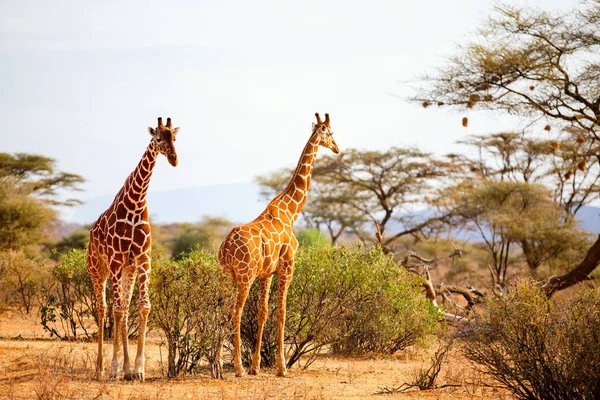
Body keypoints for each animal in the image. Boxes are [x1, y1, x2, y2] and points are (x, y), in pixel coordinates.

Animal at [86, 116, 179, 382]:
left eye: (174, 137)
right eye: (157, 138)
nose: (174, 159)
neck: (136, 202)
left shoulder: (143, 258)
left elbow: (143, 306)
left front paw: (137, 369)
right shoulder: (117, 259)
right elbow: (117, 310)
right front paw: (116, 367)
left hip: (128, 270)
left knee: (125, 309)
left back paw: (126, 369)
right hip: (98, 270)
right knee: (104, 309)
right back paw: (101, 368)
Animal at [218, 113, 340, 378]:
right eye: (331, 133)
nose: (337, 148)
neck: (291, 211)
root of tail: (227, 246)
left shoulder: (267, 273)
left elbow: (263, 313)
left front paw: (256, 366)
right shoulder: (287, 268)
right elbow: (282, 313)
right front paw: (281, 367)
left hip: (226, 274)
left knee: (219, 311)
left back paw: (220, 366)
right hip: (245, 275)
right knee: (235, 312)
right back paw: (238, 368)